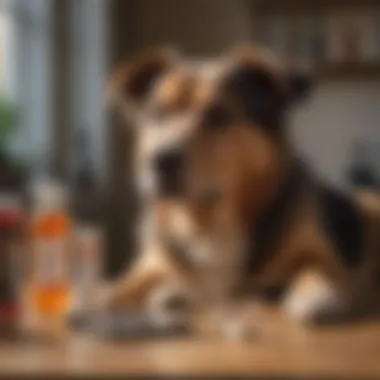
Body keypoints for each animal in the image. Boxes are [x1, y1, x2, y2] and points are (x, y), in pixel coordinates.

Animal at [103, 45, 380, 338]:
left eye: (218, 114)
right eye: (156, 114)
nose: (161, 161)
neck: (207, 222)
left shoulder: (329, 256)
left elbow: (318, 267)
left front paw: (317, 292)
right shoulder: (153, 265)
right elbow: (116, 290)